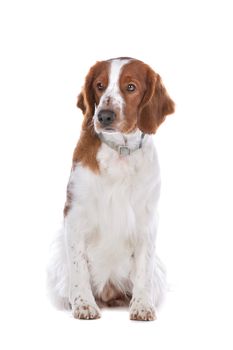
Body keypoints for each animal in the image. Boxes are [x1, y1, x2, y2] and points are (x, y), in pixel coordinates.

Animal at [47, 56, 175, 320]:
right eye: (99, 85)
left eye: (131, 87)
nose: (104, 116)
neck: (120, 152)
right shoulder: (75, 215)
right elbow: (79, 267)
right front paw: (84, 305)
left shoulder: (146, 220)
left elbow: (143, 270)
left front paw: (142, 306)